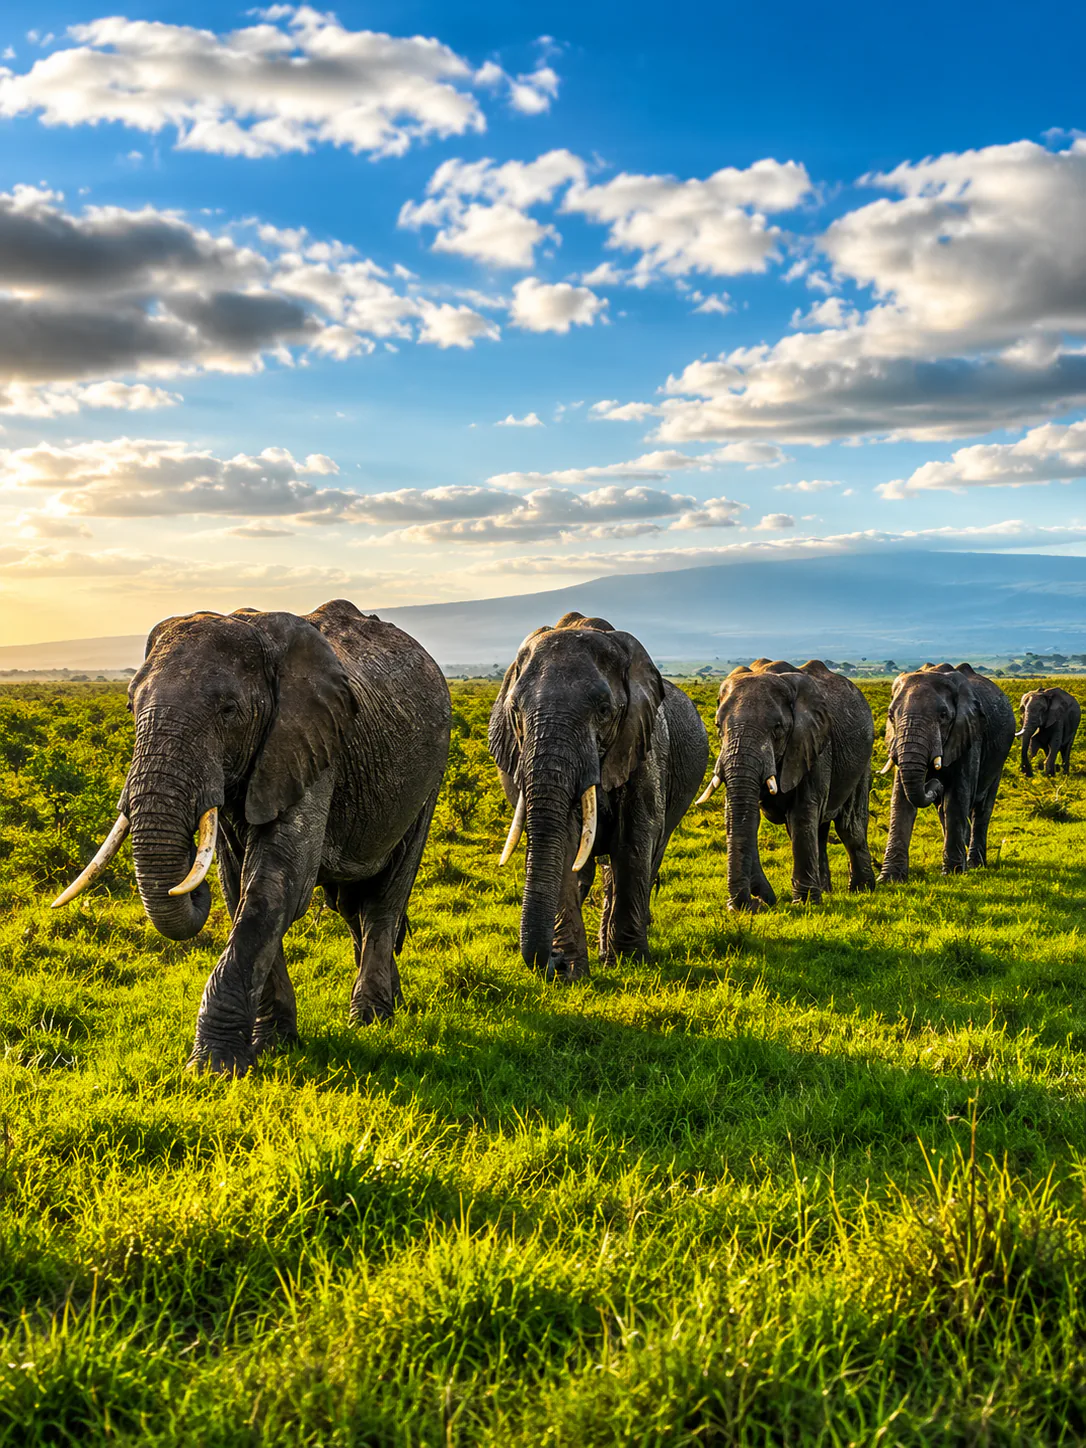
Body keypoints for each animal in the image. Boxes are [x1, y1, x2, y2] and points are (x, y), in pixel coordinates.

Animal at [53, 600, 450, 1075]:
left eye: (228, 710)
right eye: (131, 705)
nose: (189, 888)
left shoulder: (311, 744)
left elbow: (275, 886)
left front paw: (213, 1068)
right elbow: (235, 885)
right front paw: (274, 1045)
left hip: (429, 778)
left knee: (382, 899)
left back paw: (371, 1019)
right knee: (351, 905)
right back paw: (394, 1002)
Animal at [488, 612, 708, 981]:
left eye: (604, 710)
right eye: (515, 711)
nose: (554, 961)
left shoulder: (643, 742)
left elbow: (634, 840)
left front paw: (632, 963)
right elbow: (564, 843)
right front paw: (572, 973)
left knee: (647, 854)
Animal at [700, 659, 876, 911]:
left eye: (777, 728)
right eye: (717, 726)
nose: (754, 903)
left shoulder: (811, 743)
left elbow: (801, 813)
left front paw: (804, 904)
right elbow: (745, 814)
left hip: (863, 760)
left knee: (849, 826)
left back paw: (862, 889)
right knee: (820, 829)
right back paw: (826, 890)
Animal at [879, 663, 1014, 882]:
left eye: (943, 716)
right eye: (891, 715)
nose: (935, 783)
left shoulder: (969, 731)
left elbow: (957, 796)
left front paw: (953, 872)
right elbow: (901, 800)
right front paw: (888, 879)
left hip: (999, 758)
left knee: (982, 809)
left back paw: (975, 864)